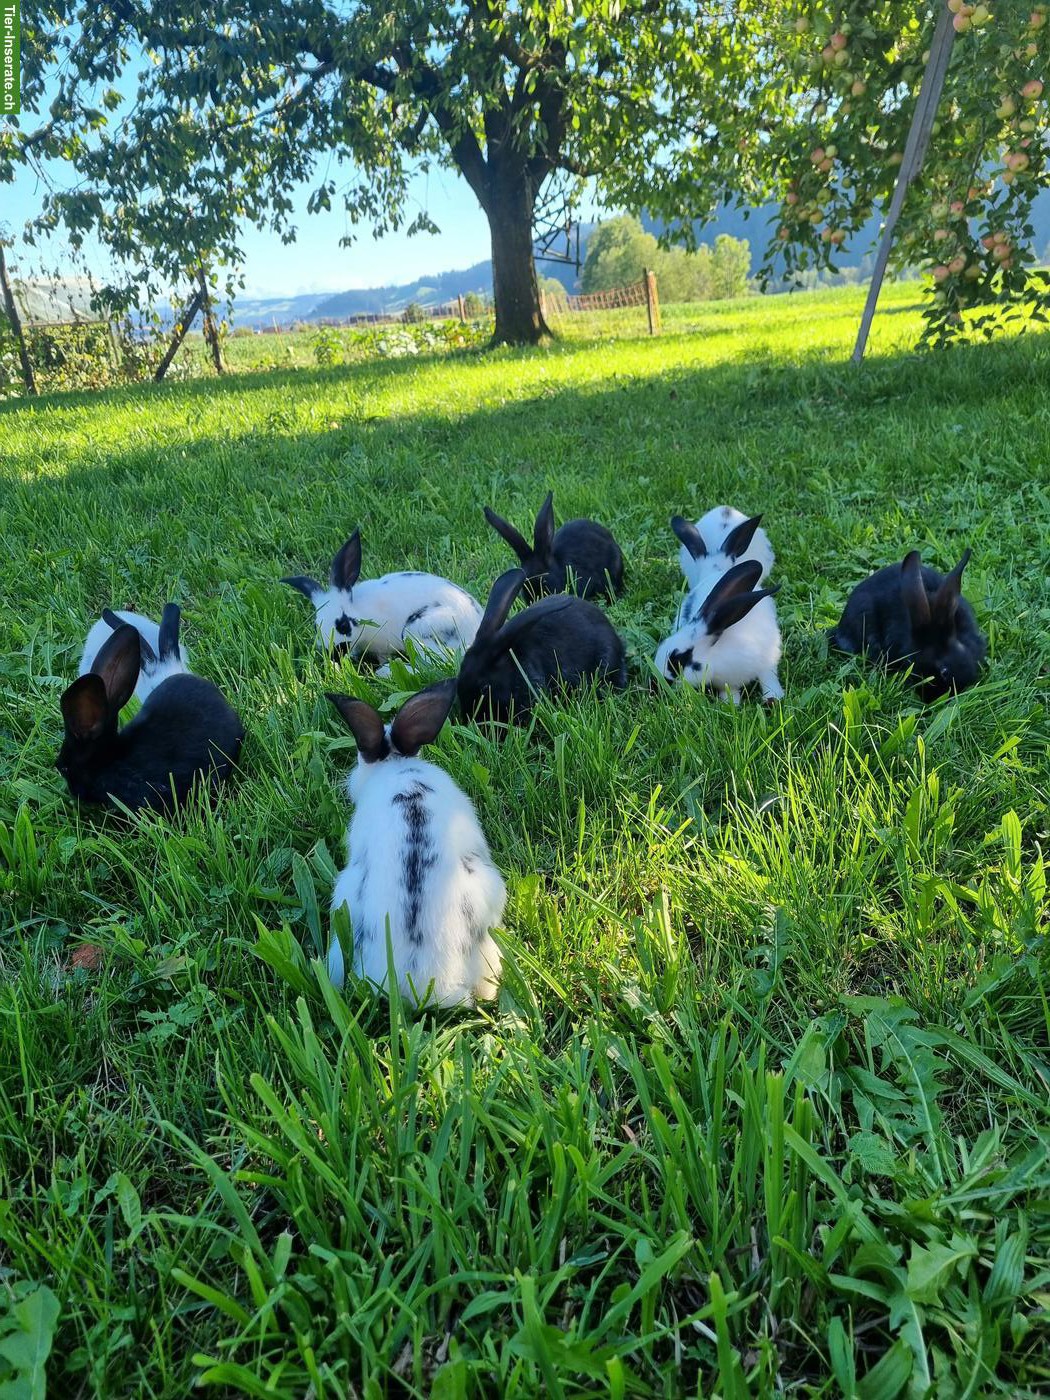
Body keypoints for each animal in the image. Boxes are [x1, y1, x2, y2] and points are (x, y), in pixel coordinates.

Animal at [655, 559, 783, 704]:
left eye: (678, 661)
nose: (659, 683)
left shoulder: (767, 661)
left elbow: (768, 679)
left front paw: (773, 699)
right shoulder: (726, 683)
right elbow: (730, 692)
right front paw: (731, 703)